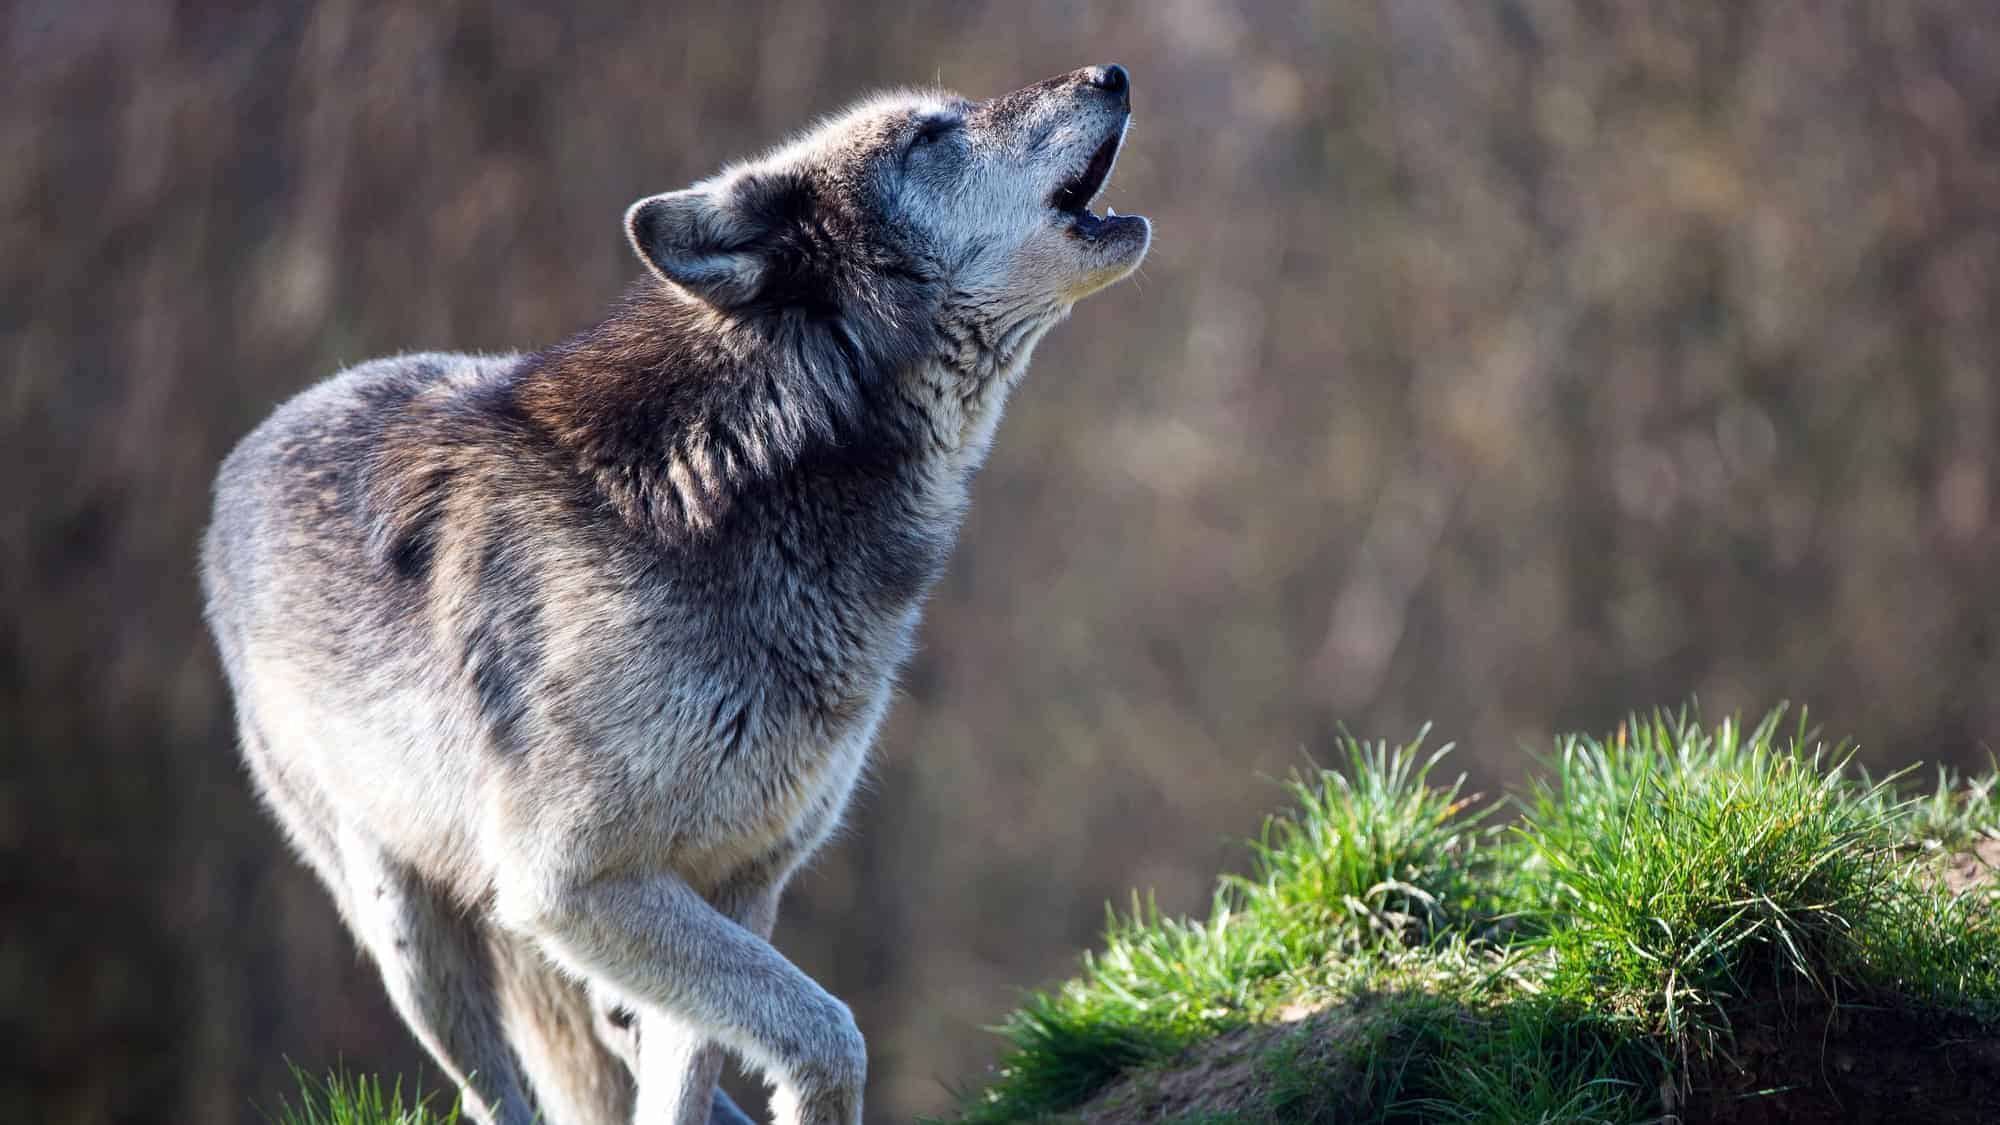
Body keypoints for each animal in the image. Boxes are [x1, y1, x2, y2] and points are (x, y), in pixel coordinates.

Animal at [200, 65, 1148, 1125]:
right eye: (929, 136)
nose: (1109, 73)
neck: (744, 475)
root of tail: (243, 456)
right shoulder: (572, 885)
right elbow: (829, 1032)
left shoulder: (737, 878)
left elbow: (695, 1068)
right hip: (410, 932)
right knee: (499, 1092)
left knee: (615, 1033)